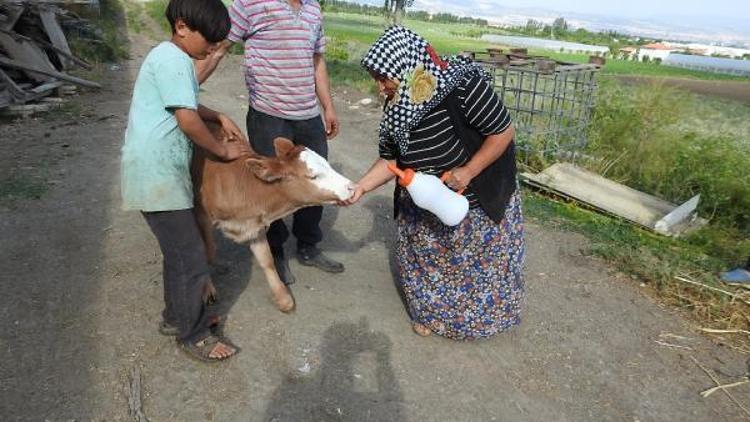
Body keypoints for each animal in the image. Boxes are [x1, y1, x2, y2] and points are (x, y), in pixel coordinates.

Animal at [192, 123, 354, 312]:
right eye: (313, 176)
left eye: (327, 165)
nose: (352, 186)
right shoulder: (200, 213)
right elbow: (206, 251)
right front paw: (207, 289)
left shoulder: (255, 225)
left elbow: (267, 259)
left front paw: (283, 297)